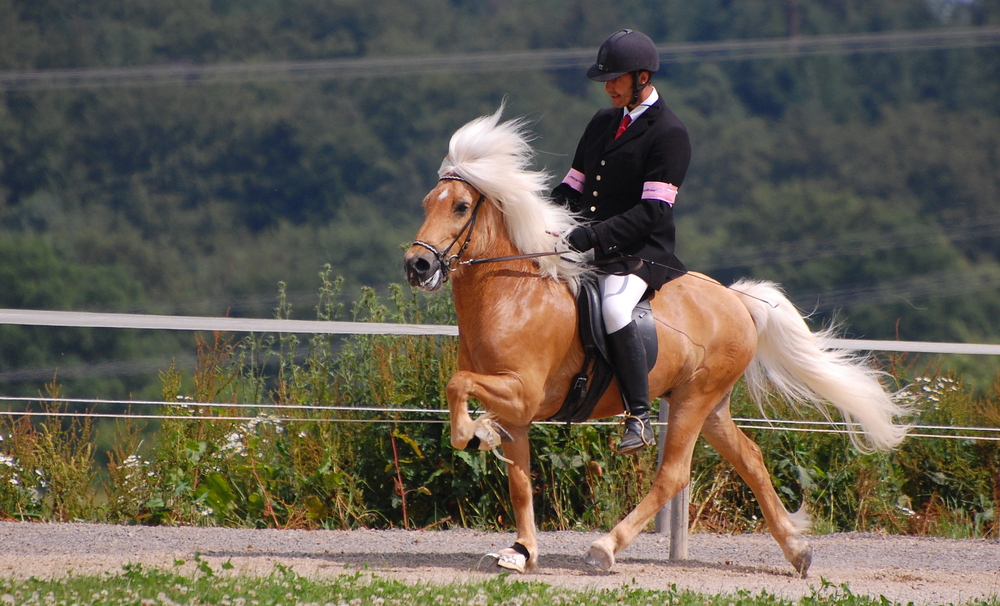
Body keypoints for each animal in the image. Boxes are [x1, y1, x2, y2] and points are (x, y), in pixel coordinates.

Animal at [402, 108, 912, 580]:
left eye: (461, 207)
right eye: (427, 202)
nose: (417, 266)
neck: (513, 294)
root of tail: (738, 300)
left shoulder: (523, 393)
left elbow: (456, 385)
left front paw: (474, 435)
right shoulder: (517, 411)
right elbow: (519, 481)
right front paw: (521, 551)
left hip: (693, 399)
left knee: (673, 474)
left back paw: (605, 547)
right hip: (710, 404)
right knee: (750, 458)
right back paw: (798, 551)